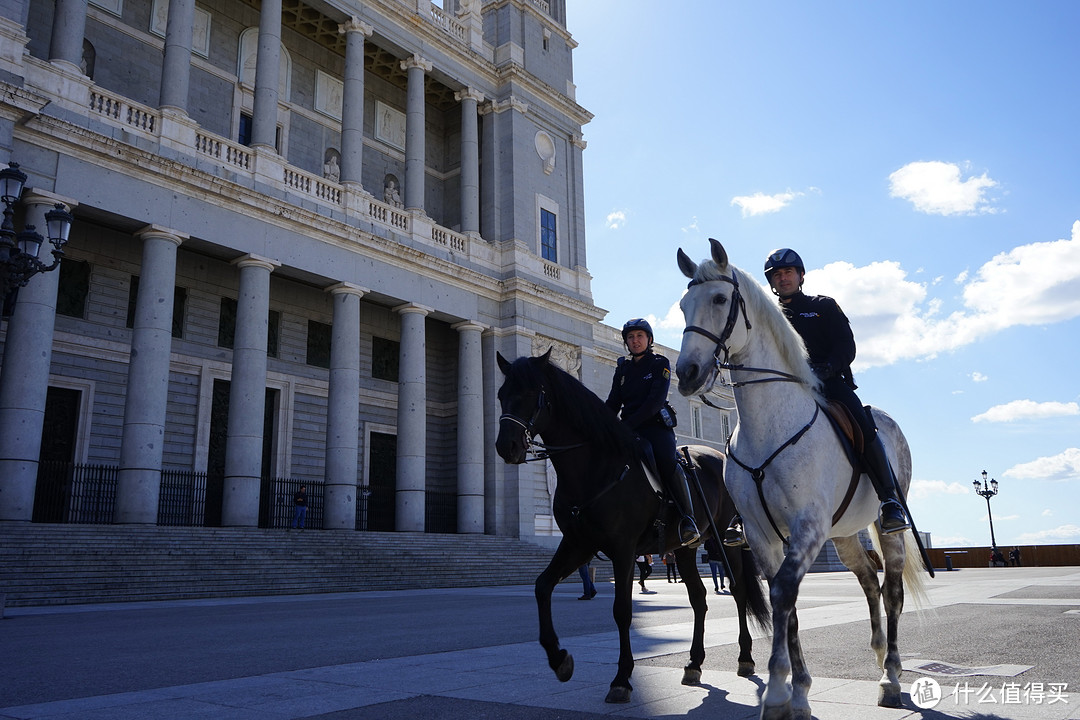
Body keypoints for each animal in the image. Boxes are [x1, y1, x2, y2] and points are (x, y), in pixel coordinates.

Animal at [494, 351, 773, 708]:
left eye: (532, 393)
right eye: (501, 395)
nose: (507, 447)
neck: (595, 467)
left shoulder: (623, 550)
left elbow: (622, 611)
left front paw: (621, 680)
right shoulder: (577, 544)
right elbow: (542, 586)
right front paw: (560, 660)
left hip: (727, 543)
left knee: (738, 591)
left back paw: (745, 658)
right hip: (686, 548)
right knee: (698, 598)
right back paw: (694, 663)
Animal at [678, 240, 924, 720]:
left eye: (719, 299)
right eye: (683, 305)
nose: (686, 373)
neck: (768, 426)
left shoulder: (807, 529)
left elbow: (783, 596)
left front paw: (777, 692)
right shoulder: (762, 536)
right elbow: (784, 603)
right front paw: (799, 693)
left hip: (888, 527)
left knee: (891, 590)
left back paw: (891, 675)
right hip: (843, 535)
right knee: (868, 580)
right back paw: (877, 652)